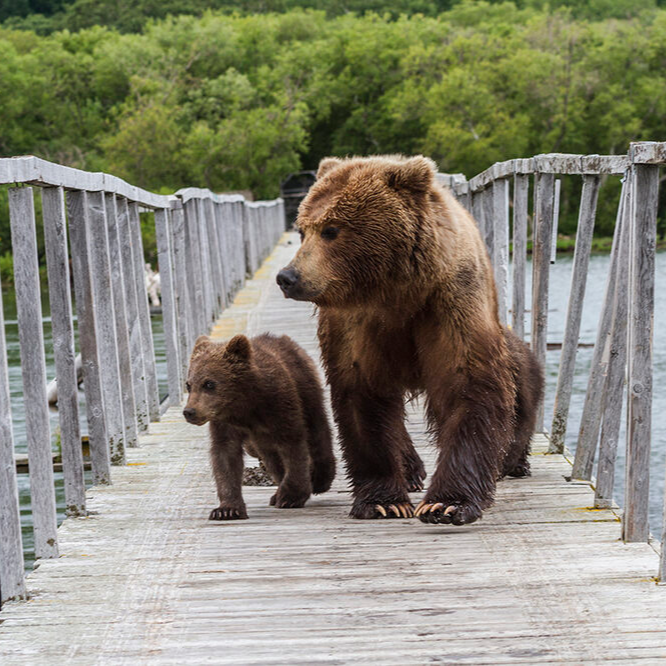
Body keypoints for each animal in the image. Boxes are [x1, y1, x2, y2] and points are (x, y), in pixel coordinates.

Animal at [274, 156, 540, 524]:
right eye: (302, 229)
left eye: (331, 230)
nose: (287, 277)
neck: (398, 291)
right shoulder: (356, 322)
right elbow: (363, 395)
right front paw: (383, 501)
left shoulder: (450, 300)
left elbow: (469, 385)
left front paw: (447, 504)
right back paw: (411, 470)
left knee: (521, 387)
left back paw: (513, 461)